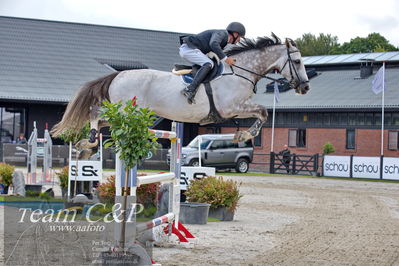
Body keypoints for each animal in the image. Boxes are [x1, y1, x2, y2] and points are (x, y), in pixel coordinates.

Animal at [51, 35, 310, 154]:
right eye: (297, 62)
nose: (305, 87)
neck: (240, 70)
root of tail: (118, 74)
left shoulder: (235, 110)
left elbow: (261, 114)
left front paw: (241, 134)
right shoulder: (231, 107)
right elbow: (263, 112)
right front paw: (244, 135)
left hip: (123, 116)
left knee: (102, 120)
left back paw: (87, 141)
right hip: (126, 112)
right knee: (95, 113)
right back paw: (90, 139)